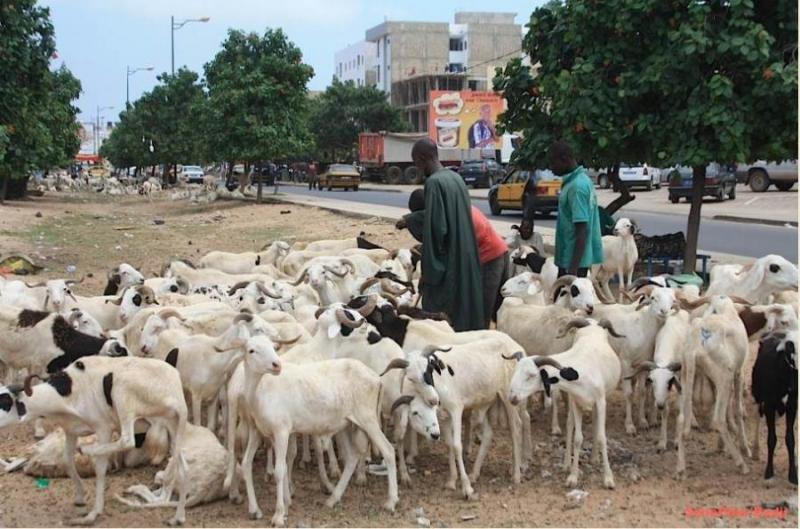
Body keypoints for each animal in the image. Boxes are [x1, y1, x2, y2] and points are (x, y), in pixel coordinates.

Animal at [8, 354, 190, 524]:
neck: (69, 390)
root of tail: (176, 391)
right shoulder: (71, 431)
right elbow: (67, 460)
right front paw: (80, 497)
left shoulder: (103, 429)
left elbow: (100, 469)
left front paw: (93, 513)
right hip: (173, 427)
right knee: (183, 468)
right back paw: (178, 517)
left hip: (123, 392)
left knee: (127, 440)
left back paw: (87, 449)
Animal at [234, 334, 396, 524]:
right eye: (251, 350)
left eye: (273, 347)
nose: (276, 365)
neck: (261, 392)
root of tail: (377, 379)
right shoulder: (259, 432)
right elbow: (248, 464)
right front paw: (258, 509)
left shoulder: (282, 430)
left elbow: (279, 470)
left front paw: (279, 515)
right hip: (347, 423)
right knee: (352, 457)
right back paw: (333, 498)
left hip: (368, 417)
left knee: (388, 450)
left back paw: (391, 502)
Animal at [506, 316, 624, 488]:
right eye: (515, 371)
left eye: (531, 375)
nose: (512, 397)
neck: (582, 368)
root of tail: (593, 324)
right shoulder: (576, 401)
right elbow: (577, 438)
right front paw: (573, 476)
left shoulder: (601, 402)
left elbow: (602, 437)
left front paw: (608, 478)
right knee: (569, 424)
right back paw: (567, 463)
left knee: (595, 424)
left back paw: (595, 458)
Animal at [680, 294, 752, 476]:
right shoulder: (739, 373)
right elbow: (737, 410)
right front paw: (745, 448)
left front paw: (721, 447)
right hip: (724, 378)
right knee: (719, 419)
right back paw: (741, 463)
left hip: (686, 376)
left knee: (682, 419)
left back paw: (680, 468)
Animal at [752, 330, 796, 482]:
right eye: (792, 353)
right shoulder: (769, 405)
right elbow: (771, 439)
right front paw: (769, 472)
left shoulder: (792, 407)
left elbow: (790, 439)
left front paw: (793, 475)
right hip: (759, 397)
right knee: (757, 418)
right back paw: (755, 451)